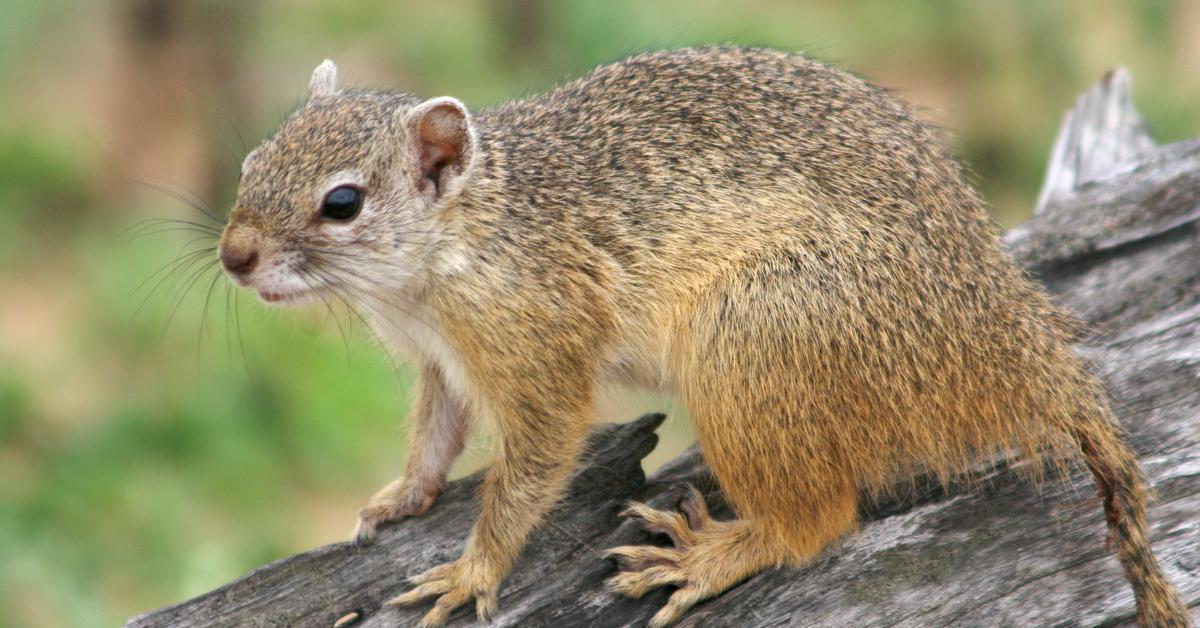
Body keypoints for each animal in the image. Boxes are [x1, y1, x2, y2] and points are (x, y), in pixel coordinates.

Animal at [218, 46, 1190, 624]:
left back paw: (710, 556)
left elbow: (527, 470)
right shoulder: (442, 362)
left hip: (751, 341)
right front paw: (399, 498)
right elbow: (435, 437)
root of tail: (1006, 344)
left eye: (343, 203)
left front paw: (472, 573)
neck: (464, 239)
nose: (232, 255)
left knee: (817, 521)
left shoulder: (538, 348)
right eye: (253, 160)